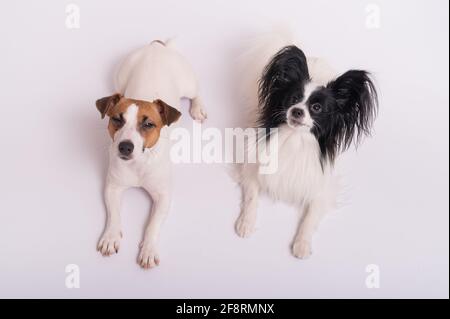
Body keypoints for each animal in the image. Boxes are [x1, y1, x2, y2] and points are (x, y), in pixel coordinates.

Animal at [96, 40, 207, 270]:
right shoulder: (113, 188)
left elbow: (152, 225)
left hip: (188, 83)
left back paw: (198, 108)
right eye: (117, 119)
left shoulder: (163, 196)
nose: (125, 147)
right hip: (120, 76)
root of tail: (157, 45)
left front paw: (148, 249)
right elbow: (113, 214)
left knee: (196, 92)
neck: (138, 164)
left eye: (148, 124)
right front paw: (111, 237)